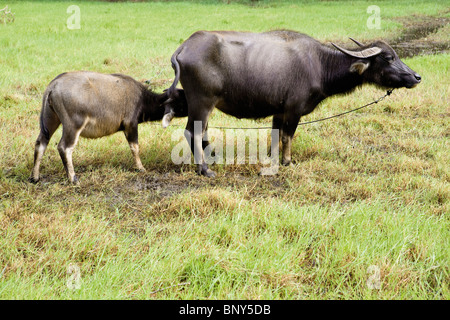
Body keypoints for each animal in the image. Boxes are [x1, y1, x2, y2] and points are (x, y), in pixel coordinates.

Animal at [29, 71, 187, 184]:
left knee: (41, 143)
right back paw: (73, 178)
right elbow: (135, 147)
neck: (142, 99)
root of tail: (53, 86)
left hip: (50, 120)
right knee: (64, 147)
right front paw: (141, 168)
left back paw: (35, 177)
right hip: (73, 125)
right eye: (183, 100)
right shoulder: (131, 124)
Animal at [163, 29, 422, 178]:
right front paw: (287, 161)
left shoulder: (279, 111)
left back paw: (212, 157)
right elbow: (288, 136)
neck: (319, 65)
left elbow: (276, 135)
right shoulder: (293, 110)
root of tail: (183, 48)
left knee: (202, 131)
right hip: (202, 102)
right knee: (193, 132)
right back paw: (205, 169)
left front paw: (271, 157)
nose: (416, 77)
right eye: (388, 57)